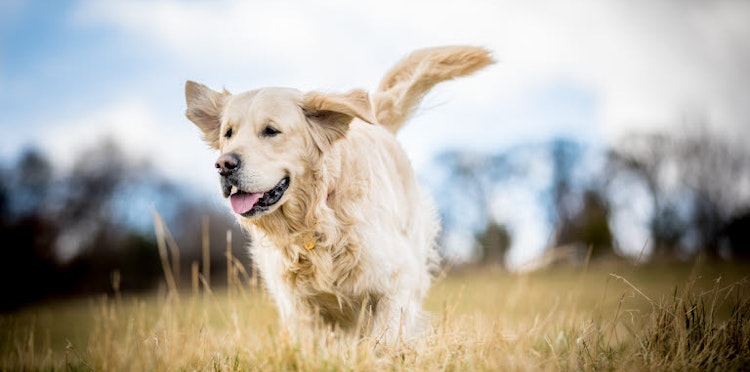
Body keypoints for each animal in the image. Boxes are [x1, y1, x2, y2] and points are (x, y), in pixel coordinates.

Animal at [186, 45, 496, 342]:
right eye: (228, 133)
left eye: (271, 130)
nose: (224, 164)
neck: (318, 216)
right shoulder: (298, 308)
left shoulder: (398, 279)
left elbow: (384, 338)